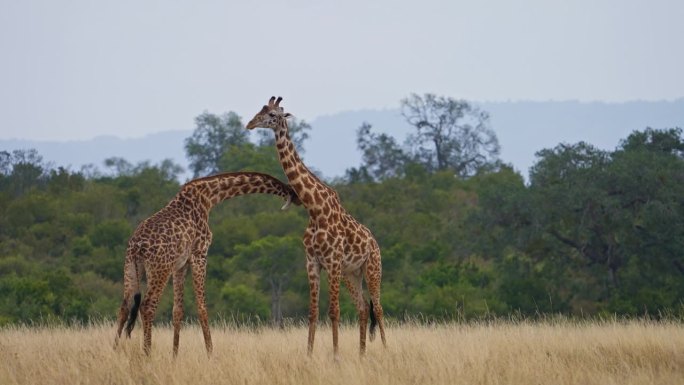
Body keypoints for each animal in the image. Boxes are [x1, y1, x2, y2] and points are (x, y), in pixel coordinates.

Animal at [115, 171, 300, 354]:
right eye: (294, 191)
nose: (298, 199)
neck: (209, 197)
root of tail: (137, 246)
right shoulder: (200, 254)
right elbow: (202, 307)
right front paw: (211, 353)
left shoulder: (181, 264)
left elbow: (177, 310)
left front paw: (174, 356)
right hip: (160, 269)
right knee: (147, 306)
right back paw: (147, 353)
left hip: (130, 267)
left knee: (124, 307)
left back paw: (115, 349)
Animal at [246, 95, 388, 354]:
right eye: (260, 109)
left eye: (272, 115)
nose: (250, 124)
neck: (315, 208)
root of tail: (374, 242)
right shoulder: (312, 262)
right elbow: (313, 312)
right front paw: (309, 354)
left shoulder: (331, 261)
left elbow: (334, 311)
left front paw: (335, 355)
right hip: (351, 273)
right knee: (364, 307)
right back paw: (362, 353)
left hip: (373, 268)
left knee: (379, 308)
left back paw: (384, 349)